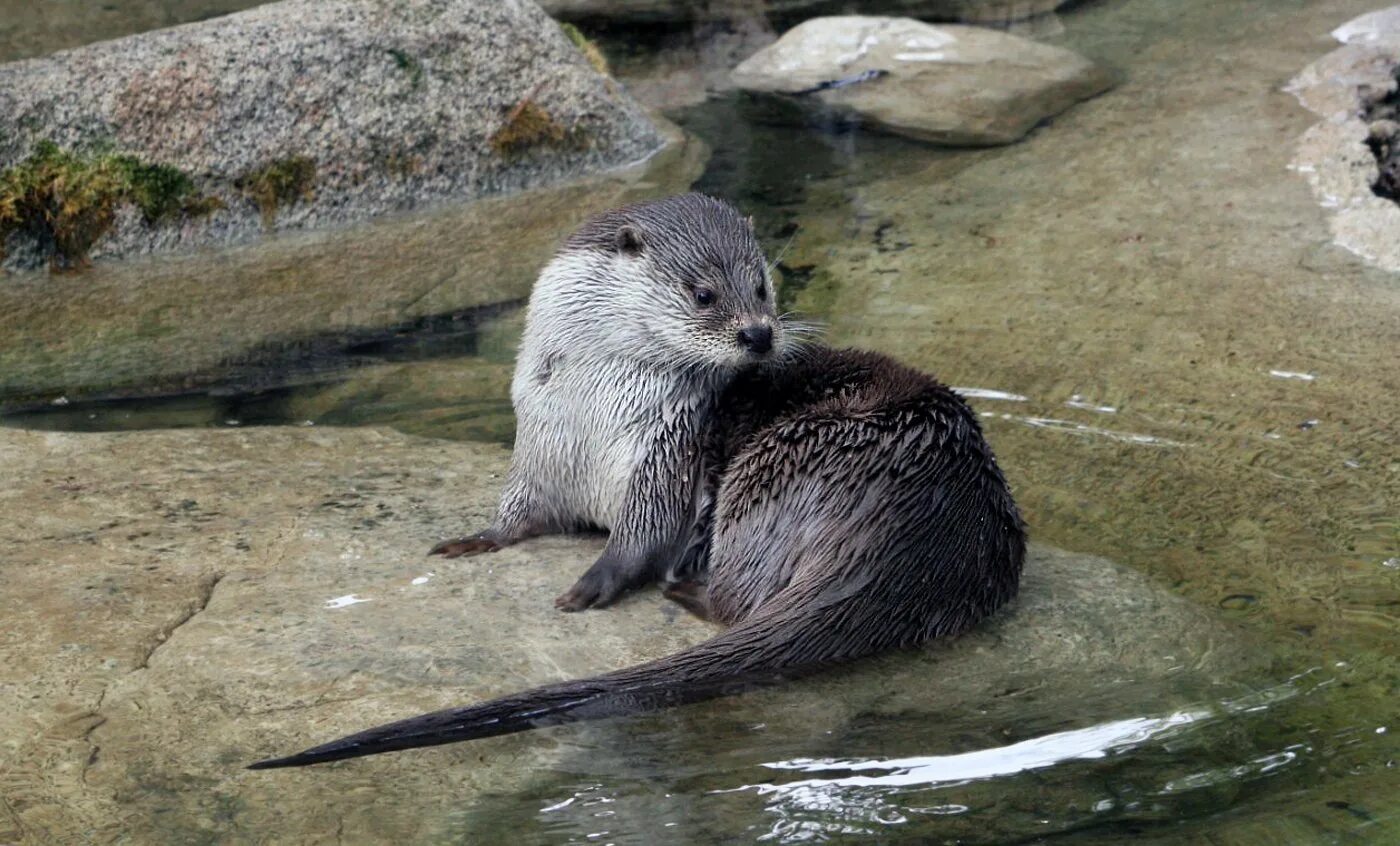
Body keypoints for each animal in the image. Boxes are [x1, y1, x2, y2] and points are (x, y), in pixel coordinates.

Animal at [249, 194, 1019, 767]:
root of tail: (925, 517)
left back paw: (685, 586)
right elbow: (518, 515)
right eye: (703, 293)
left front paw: (595, 581)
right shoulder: (537, 447)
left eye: (761, 285)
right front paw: (477, 539)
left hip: (774, 467)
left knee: (735, 597)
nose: (760, 335)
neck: (590, 408)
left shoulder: (665, 452)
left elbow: (642, 533)